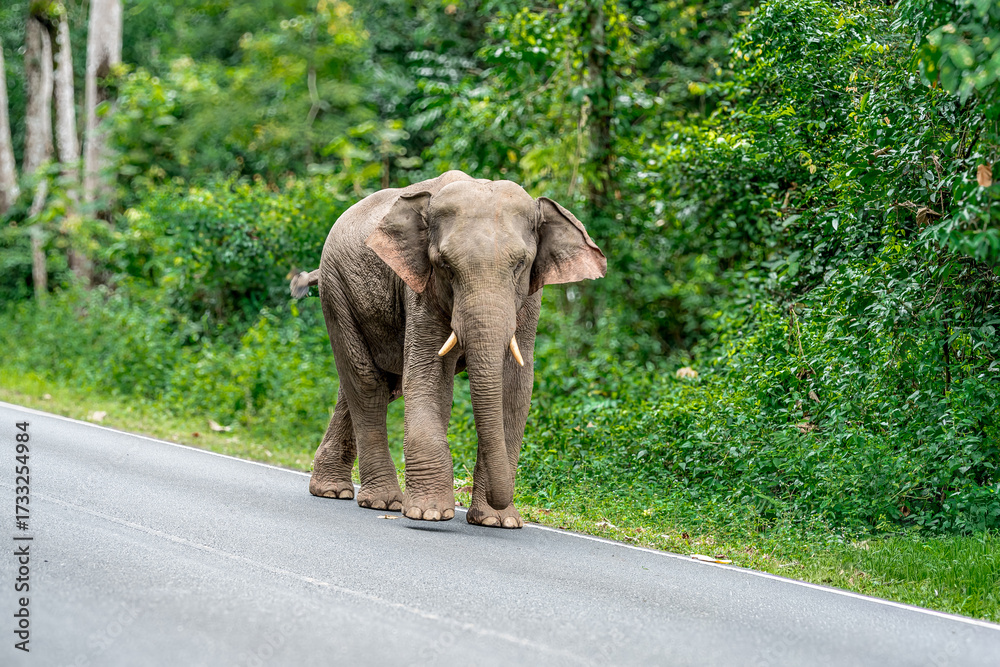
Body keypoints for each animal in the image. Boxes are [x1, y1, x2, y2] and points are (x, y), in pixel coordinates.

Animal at [291, 170, 605, 528]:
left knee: (375, 386)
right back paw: (380, 501)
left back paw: (332, 491)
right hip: (337, 290)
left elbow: (515, 387)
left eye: (520, 265)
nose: (501, 502)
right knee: (367, 384)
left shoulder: (529, 300)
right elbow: (427, 376)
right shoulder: (421, 289)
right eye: (445, 266)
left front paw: (498, 522)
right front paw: (428, 513)